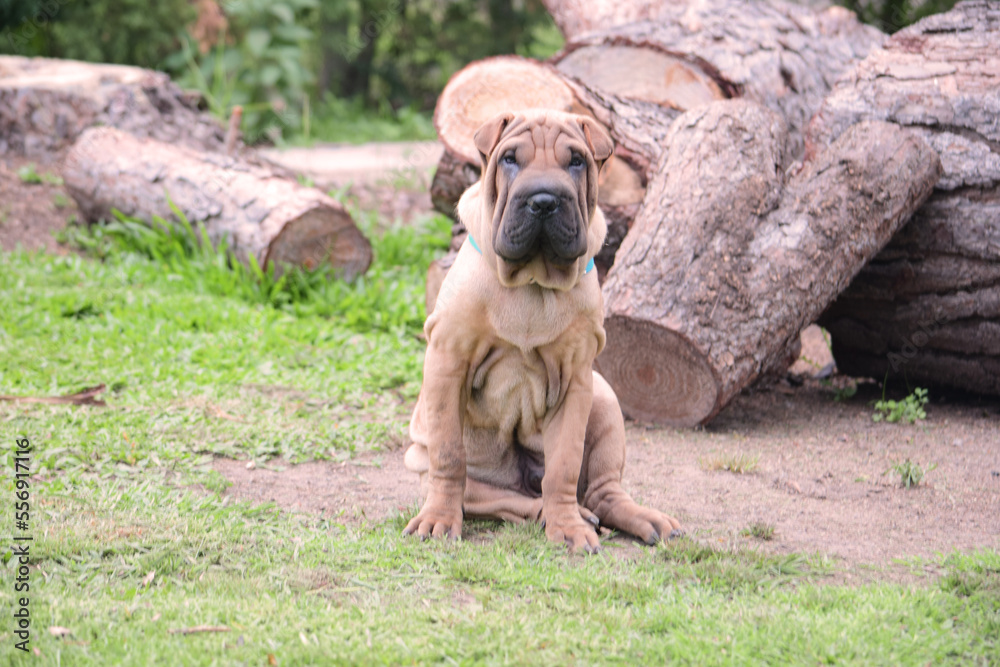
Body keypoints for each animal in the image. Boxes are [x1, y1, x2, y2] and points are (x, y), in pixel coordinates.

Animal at [404, 109, 680, 552]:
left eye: (576, 161)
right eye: (510, 159)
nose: (544, 201)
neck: (532, 280)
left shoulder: (576, 380)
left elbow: (563, 464)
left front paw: (568, 528)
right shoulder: (448, 359)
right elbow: (448, 456)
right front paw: (438, 521)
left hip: (604, 398)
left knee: (600, 490)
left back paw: (630, 518)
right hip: (448, 473)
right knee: (507, 499)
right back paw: (564, 514)